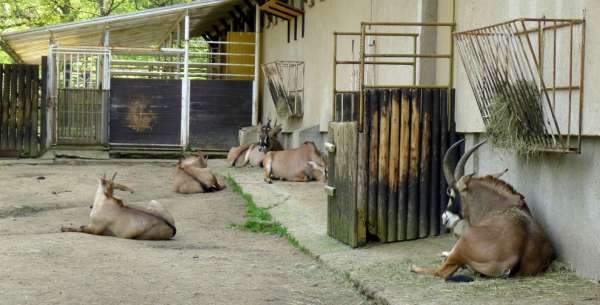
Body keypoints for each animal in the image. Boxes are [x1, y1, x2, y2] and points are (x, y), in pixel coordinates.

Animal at [410, 139, 556, 280]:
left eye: (451, 194)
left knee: (441, 272)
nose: (444, 218)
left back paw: (415, 267)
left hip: (463, 242)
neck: (497, 207)